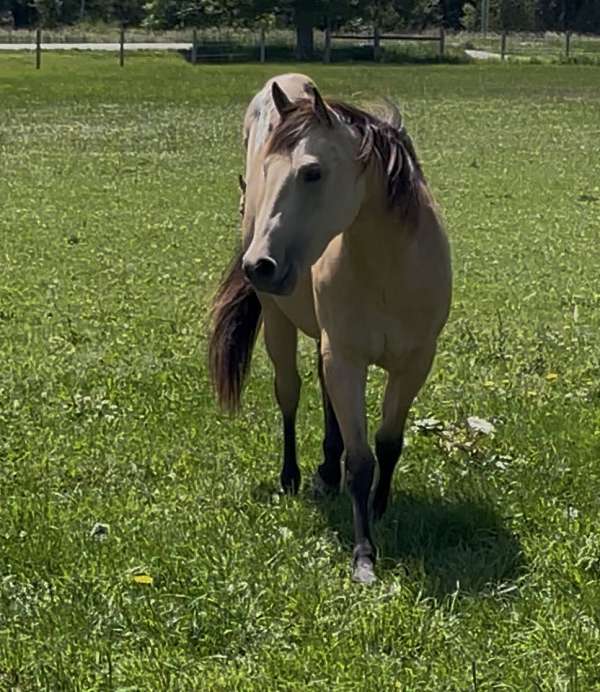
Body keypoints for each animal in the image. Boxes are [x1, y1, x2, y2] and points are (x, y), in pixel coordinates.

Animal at [209, 74, 452, 584]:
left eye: (312, 172)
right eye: (267, 169)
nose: (259, 265)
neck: (389, 270)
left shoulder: (414, 363)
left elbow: (389, 442)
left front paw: (380, 507)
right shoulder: (345, 359)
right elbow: (360, 460)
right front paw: (364, 554)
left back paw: (325, 471)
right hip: (279, 326)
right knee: (290, 393)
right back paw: (293, 477)